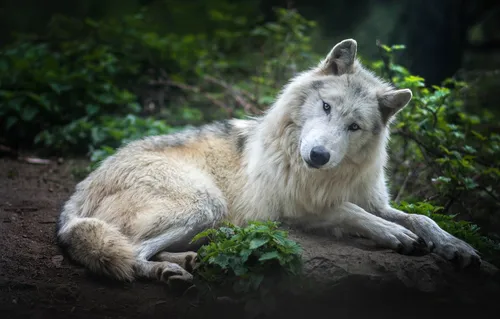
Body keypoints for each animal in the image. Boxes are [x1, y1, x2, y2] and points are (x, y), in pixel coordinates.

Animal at [56, 38, 482, 288]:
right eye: (326, 107)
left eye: (354, 126)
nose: (318, 156)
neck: (322, 177)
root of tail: (78, 192)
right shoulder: (290, 211)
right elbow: (351, 212)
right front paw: (395, 235)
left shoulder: (372, 199)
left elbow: (421, 218)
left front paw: (456, 246)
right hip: (205, 203)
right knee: (130, 252)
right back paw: (167, 270)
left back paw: (188, 260)